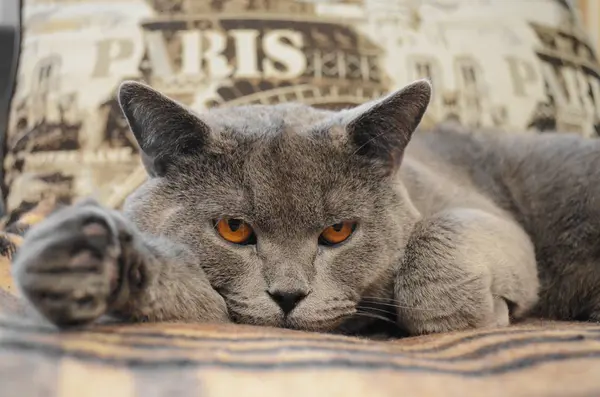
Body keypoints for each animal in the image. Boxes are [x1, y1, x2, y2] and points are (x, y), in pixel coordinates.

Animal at [11, 79, 600, 334]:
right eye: (233, 228)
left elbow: (441, 230)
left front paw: (460, 315)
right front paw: (80, 257)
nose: (288, 296)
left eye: (339, 231)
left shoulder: (482, 215)